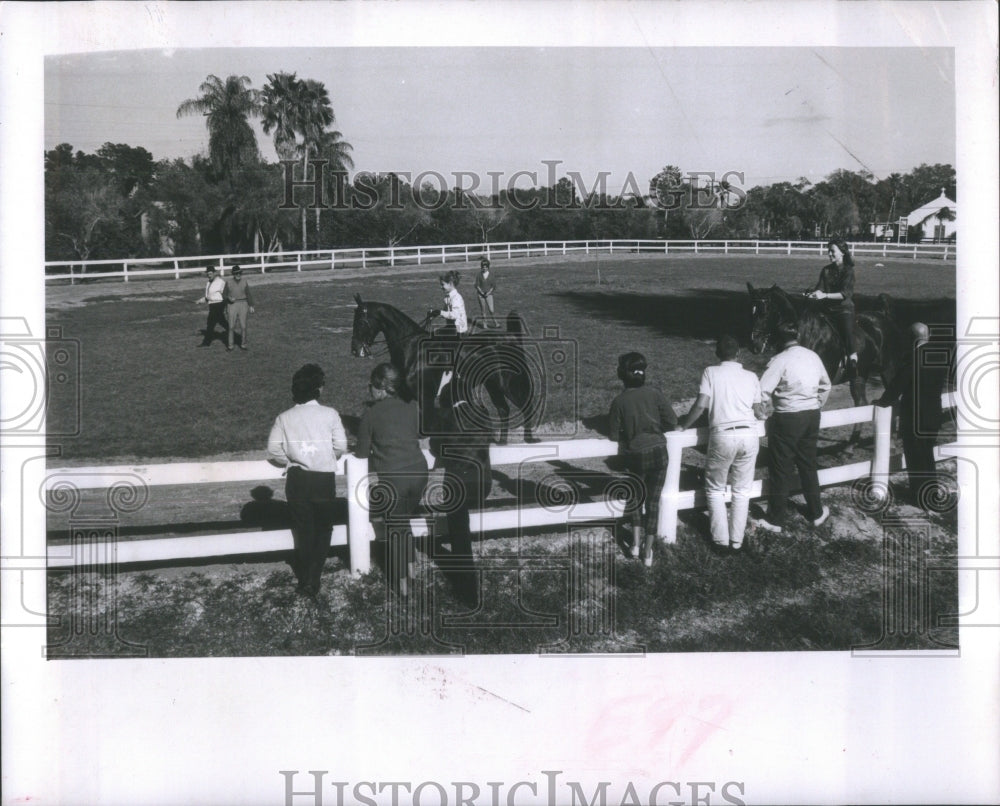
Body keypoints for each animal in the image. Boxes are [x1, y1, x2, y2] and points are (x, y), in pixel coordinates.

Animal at [352, 296, 540, 446]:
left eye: (360, 321)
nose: (355, 350)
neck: (413, 350)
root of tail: (510, 336)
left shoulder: (425, 398)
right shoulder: (407, 397)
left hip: (509, 383)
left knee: (525, 406)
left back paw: (529, 438)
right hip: (492, 384)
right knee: (503, 409)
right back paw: (501, 442)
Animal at [748, 282, 904, 446]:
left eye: (765, 312)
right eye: (751, 311)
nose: (754, 344)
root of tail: (883, 317)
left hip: (889, 370)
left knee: (893, 399)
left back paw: (891, 438)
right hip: (859, 375)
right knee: (861, 403)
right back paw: (852, 443)